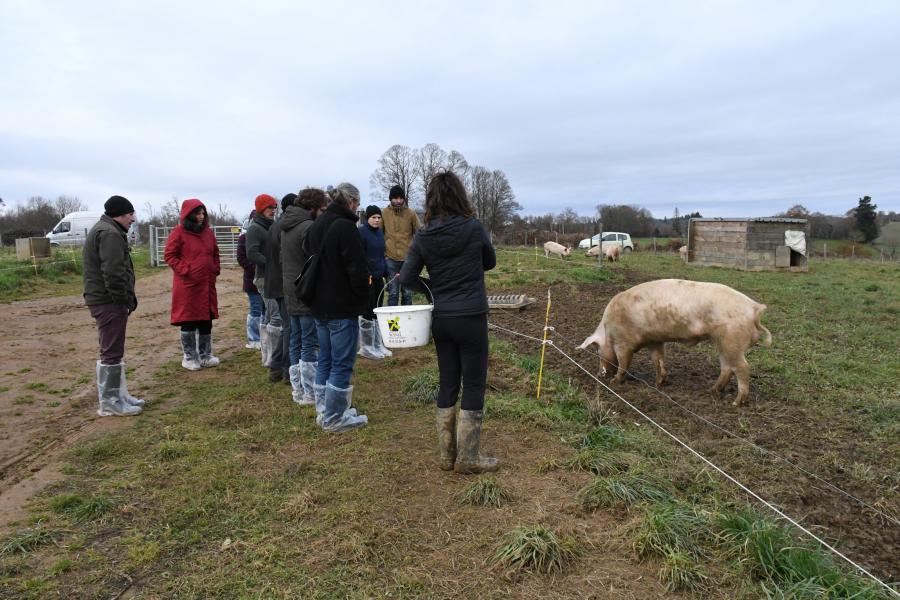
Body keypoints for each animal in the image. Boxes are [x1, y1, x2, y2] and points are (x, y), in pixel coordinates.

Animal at [580, 278, 768, 406]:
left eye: (597, 351)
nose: (600, 374)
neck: (608, 330)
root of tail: (754, 308)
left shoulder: (623, 343)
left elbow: (624, 363)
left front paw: (615, 382)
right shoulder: (655, 341)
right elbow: (658, 360)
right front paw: (658, 383)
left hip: (732, 340)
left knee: (742, 367)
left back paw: (736, 403)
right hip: (723, 342)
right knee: (727, 368)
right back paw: (712, 391)